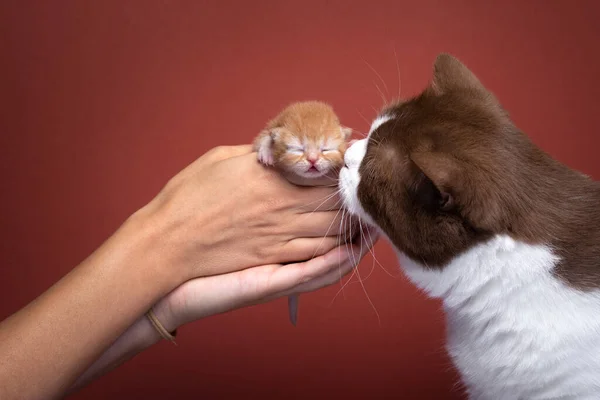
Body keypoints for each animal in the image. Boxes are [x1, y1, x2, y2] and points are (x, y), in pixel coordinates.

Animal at [253, 100, 352, 324]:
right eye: (298, 149)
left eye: (325, 149)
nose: (313, 160)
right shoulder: (268, 128)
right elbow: (263, 137)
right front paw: (267, 151)